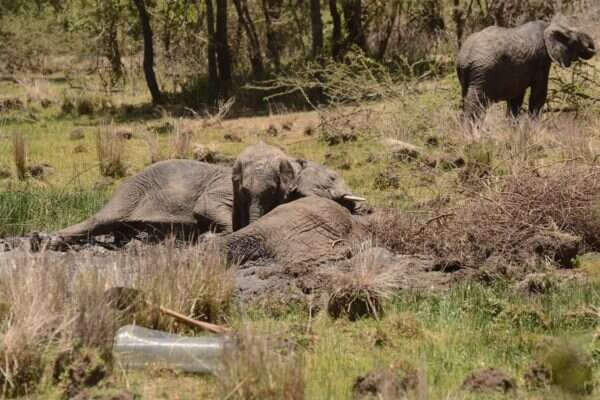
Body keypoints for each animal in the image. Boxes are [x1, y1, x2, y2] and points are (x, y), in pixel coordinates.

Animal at [50, 159, 233, 247]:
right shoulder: (223, 186)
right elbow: (205, 206)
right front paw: (212, 237)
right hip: (129, 193)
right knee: (102, 220)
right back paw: (53, 241)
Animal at [460, 15, 596, 119]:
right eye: (576, 41)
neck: (550, 25)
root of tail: (465, 56)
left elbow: (516, 98)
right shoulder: (541, 60)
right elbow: (539, 94)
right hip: (482, 72)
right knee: (476, 106)